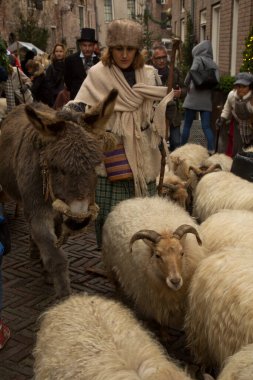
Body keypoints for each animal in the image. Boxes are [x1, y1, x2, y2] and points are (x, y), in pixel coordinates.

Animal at [101, 196, 206, 330]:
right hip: (111, 265)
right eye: (157, 255)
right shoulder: (155, 302)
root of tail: (132, 199)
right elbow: (160, 323)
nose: (175, 281)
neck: (165, 229)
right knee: (117, 287)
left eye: (182, 253)